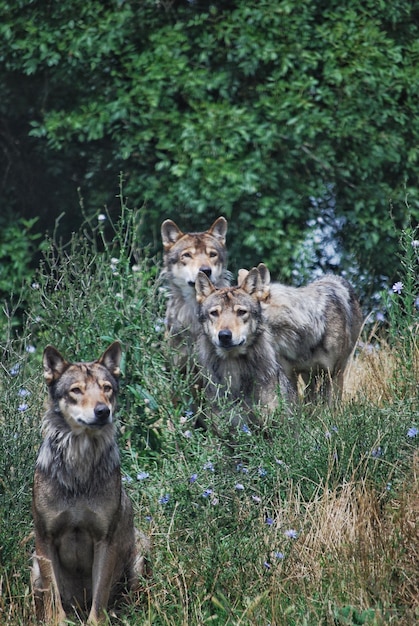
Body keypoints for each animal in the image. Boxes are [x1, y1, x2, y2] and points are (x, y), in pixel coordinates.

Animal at [31, 342, 149, 624]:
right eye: (76, 390)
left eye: (106, 388)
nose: (103, 411)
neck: (79, 469)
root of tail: (78, 603)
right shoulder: (45, 538)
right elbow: (53, 597)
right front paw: (58, 621)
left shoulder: (104, 540)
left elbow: (100, 596)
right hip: (34, 565)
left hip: (139, 555)